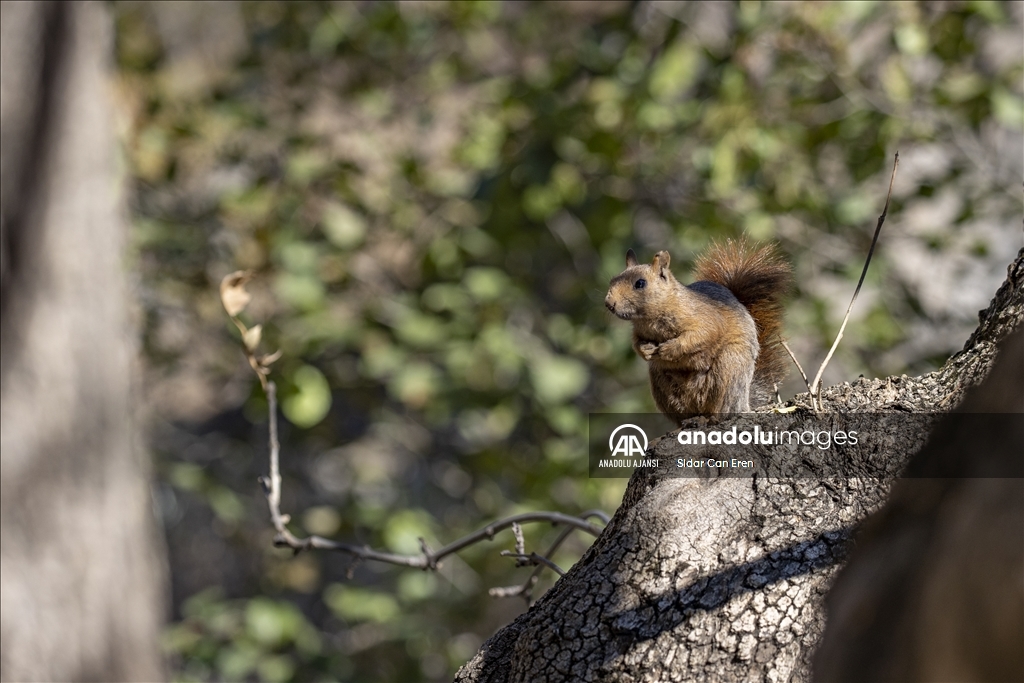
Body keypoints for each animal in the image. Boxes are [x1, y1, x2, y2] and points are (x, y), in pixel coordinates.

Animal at [606, 240, 790, 421]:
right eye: (612, 280)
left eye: (640, 283)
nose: (609, 304)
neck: (650, 318)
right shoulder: (638, 332)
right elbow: (636, 343)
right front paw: (645, 350)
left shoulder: (706, 319)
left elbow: (699, 336)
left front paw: (669, 349)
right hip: (661, 382)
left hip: (730, 365)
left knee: (723, 407)